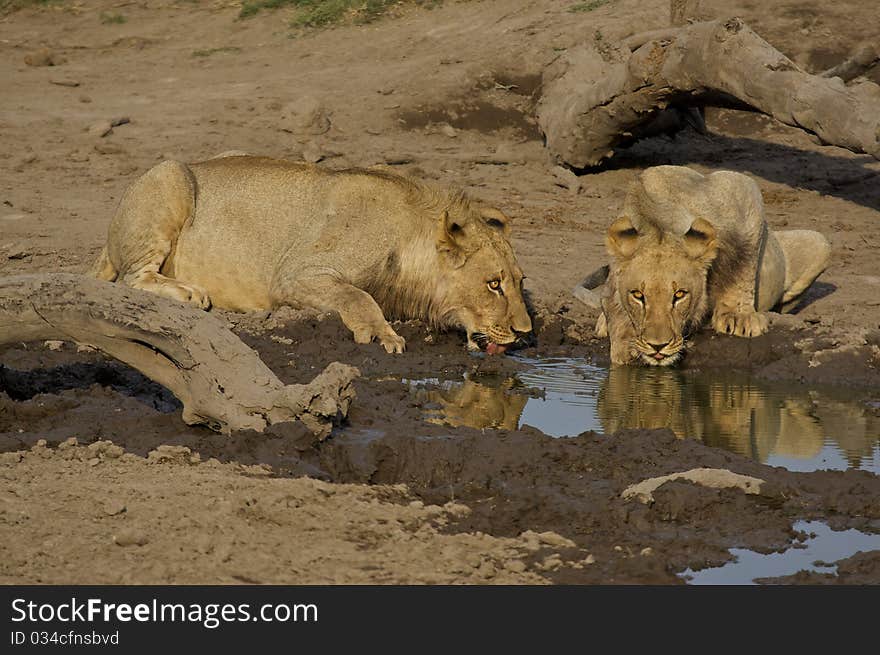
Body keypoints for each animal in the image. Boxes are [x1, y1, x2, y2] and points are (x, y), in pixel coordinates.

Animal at [91, 156, 528, 354]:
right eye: (493, 285)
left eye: (519, 283)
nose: (525, 333)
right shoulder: (294, 274)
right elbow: (358, 295)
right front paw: (382, 333)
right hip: (170, 174)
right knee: (132, 278)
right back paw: (189, 293)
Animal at [584, 164, 832, 366]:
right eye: (637, 295)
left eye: (679, 295)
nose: (657, 346)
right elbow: (611, 302)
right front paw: (626, 344)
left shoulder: (741, 190)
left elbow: (744, 265)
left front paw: (738, 317)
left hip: (821, 244)